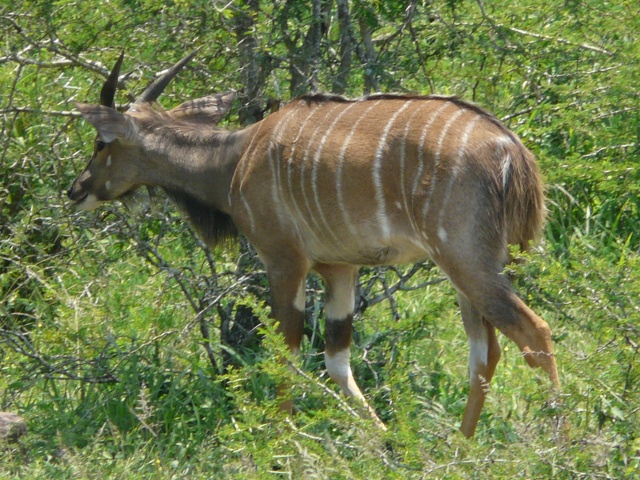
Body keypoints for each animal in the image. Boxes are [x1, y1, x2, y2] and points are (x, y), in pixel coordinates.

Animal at [67, 51, 560, 438]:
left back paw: (560, 442)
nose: (76, 189)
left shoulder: (284, 260)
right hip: (471, 269)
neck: (235, 159)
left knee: (534, 334)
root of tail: (511, 151)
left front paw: (285, 444)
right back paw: (461, 448)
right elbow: (336, 358)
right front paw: (385, 441)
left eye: (100, 142)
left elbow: (285, 353)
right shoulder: (339, 269)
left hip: (467, 263)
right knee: (485, 352)